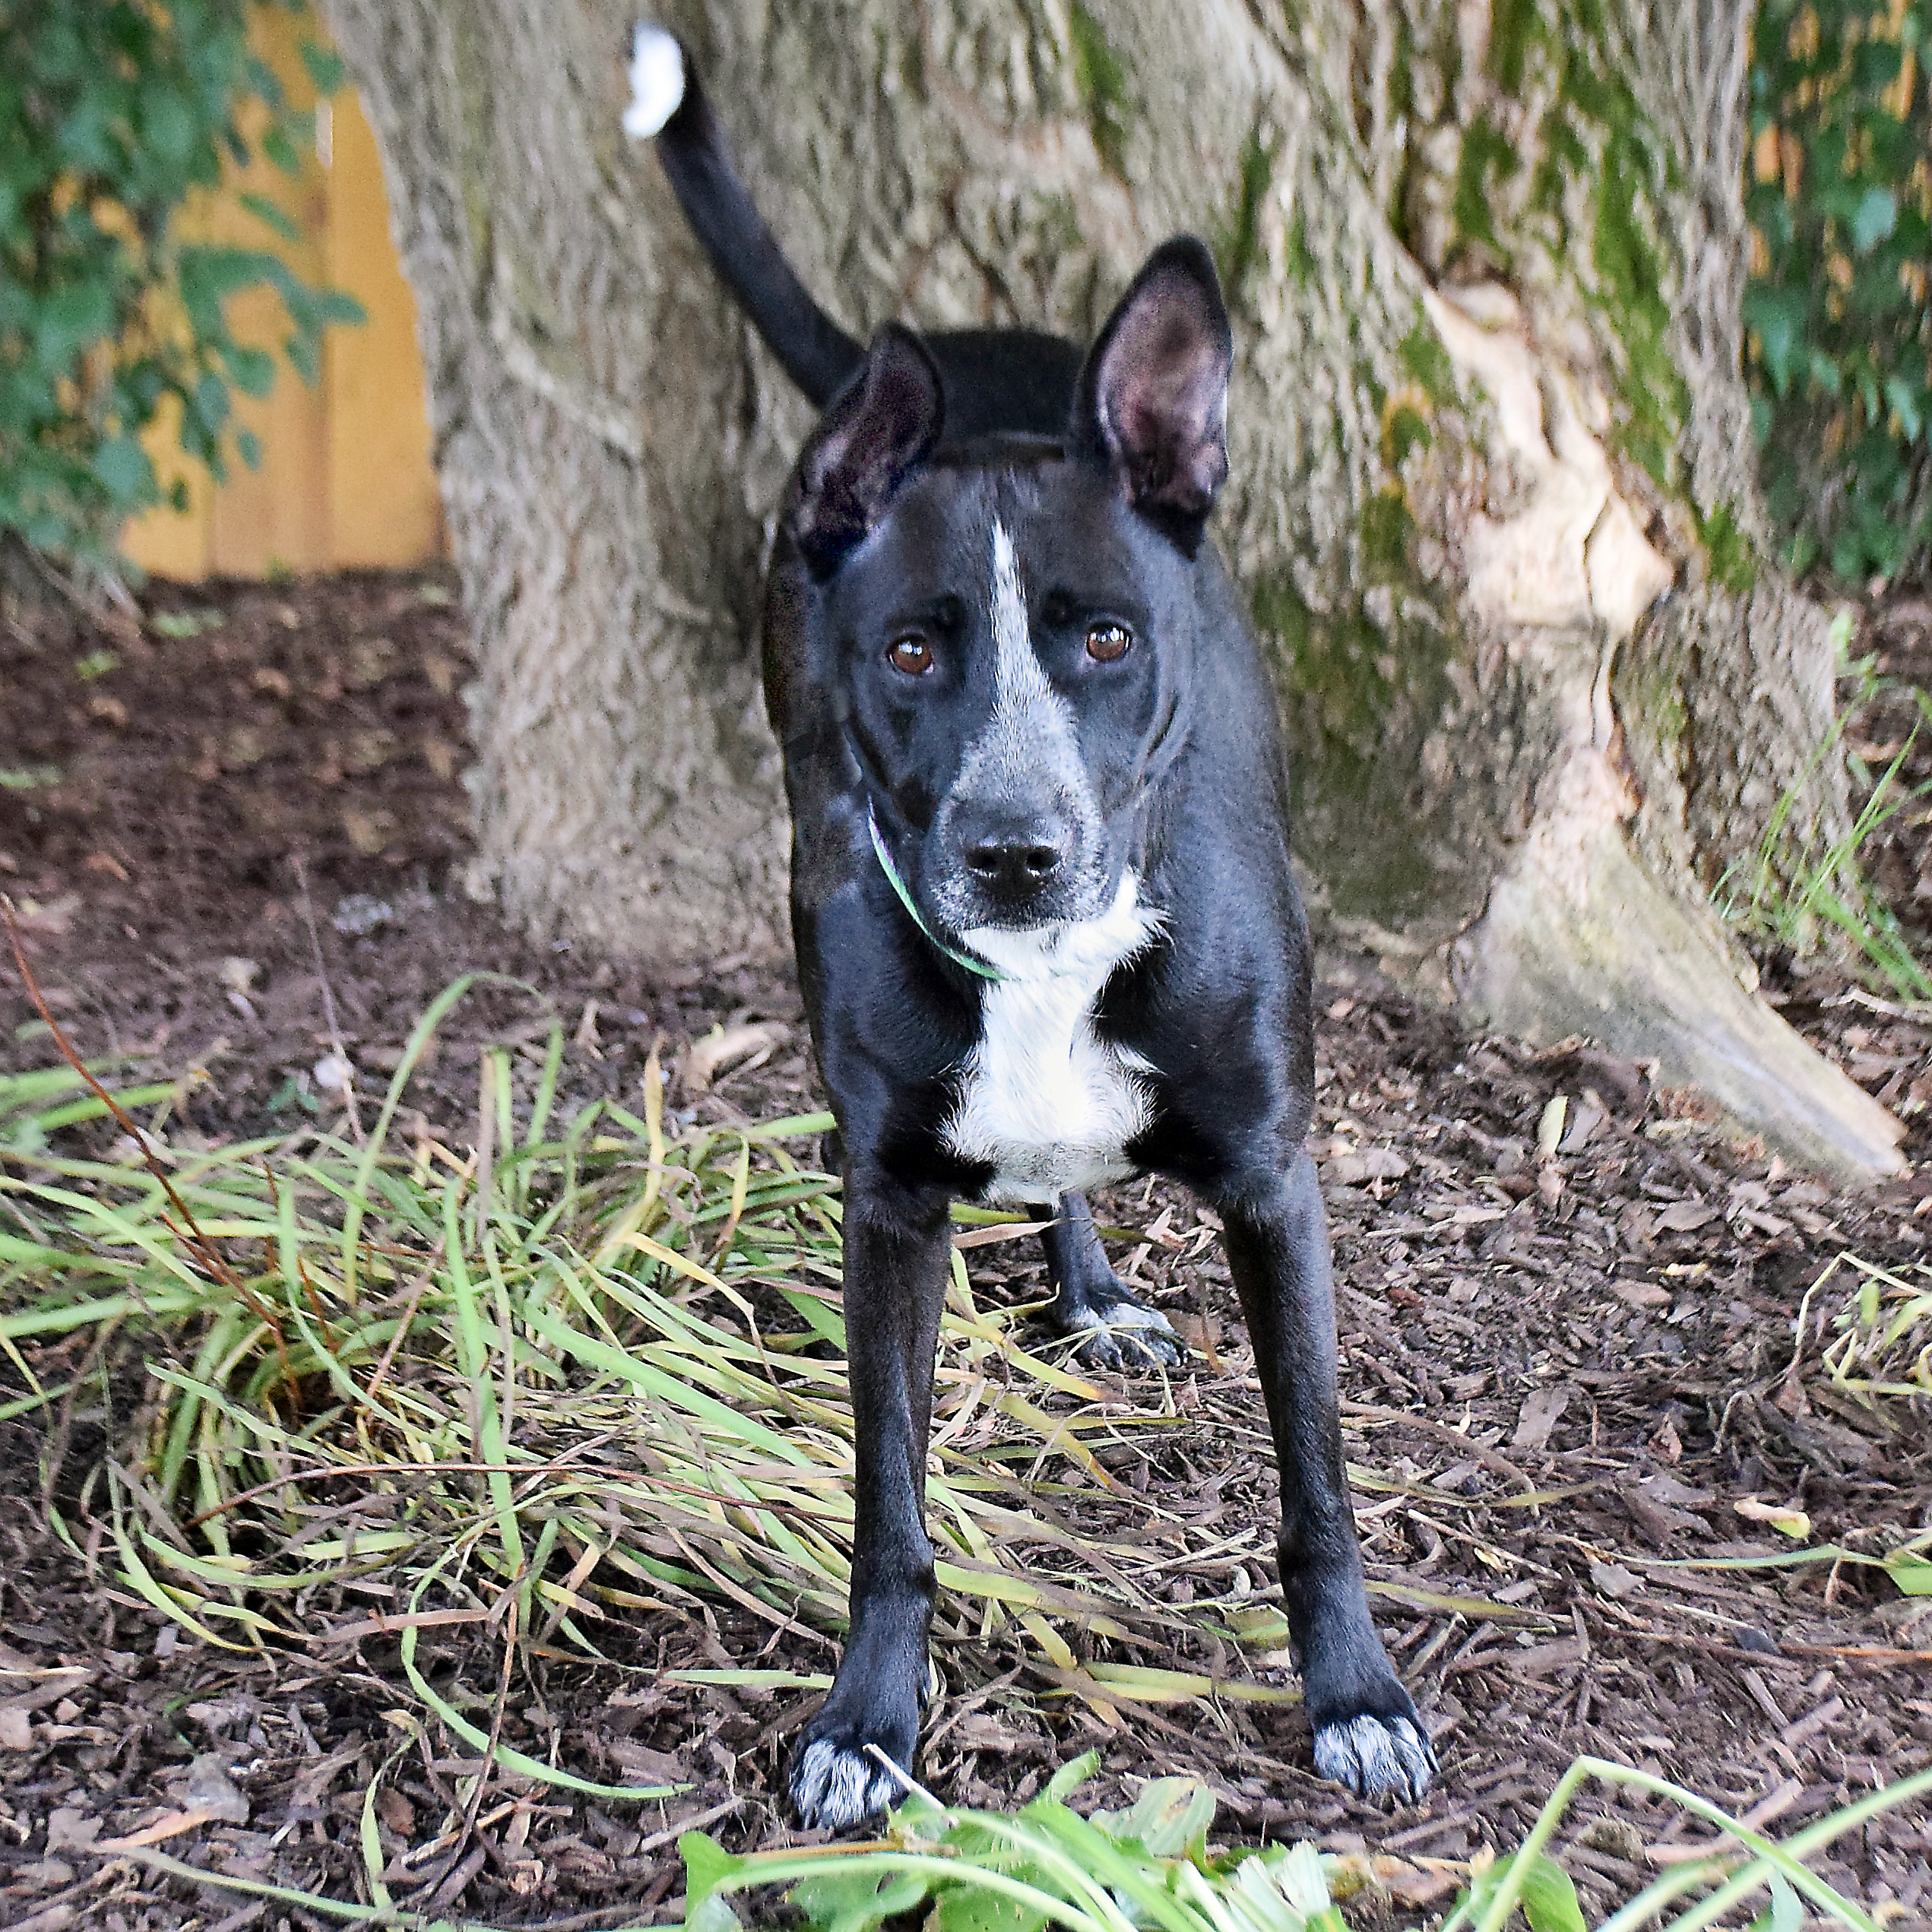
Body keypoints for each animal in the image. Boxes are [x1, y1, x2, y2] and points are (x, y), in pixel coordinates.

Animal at [622, 26, 1437, 1823]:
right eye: (913, 648)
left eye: (1108, 637)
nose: (1013, 852)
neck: (1054, 966)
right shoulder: (884, 1204)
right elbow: (889, 1507)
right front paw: (867, 1718)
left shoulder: (1276, 1182)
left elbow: (1318, 1483)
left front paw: (1352, 1690)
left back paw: (1093, 1285)